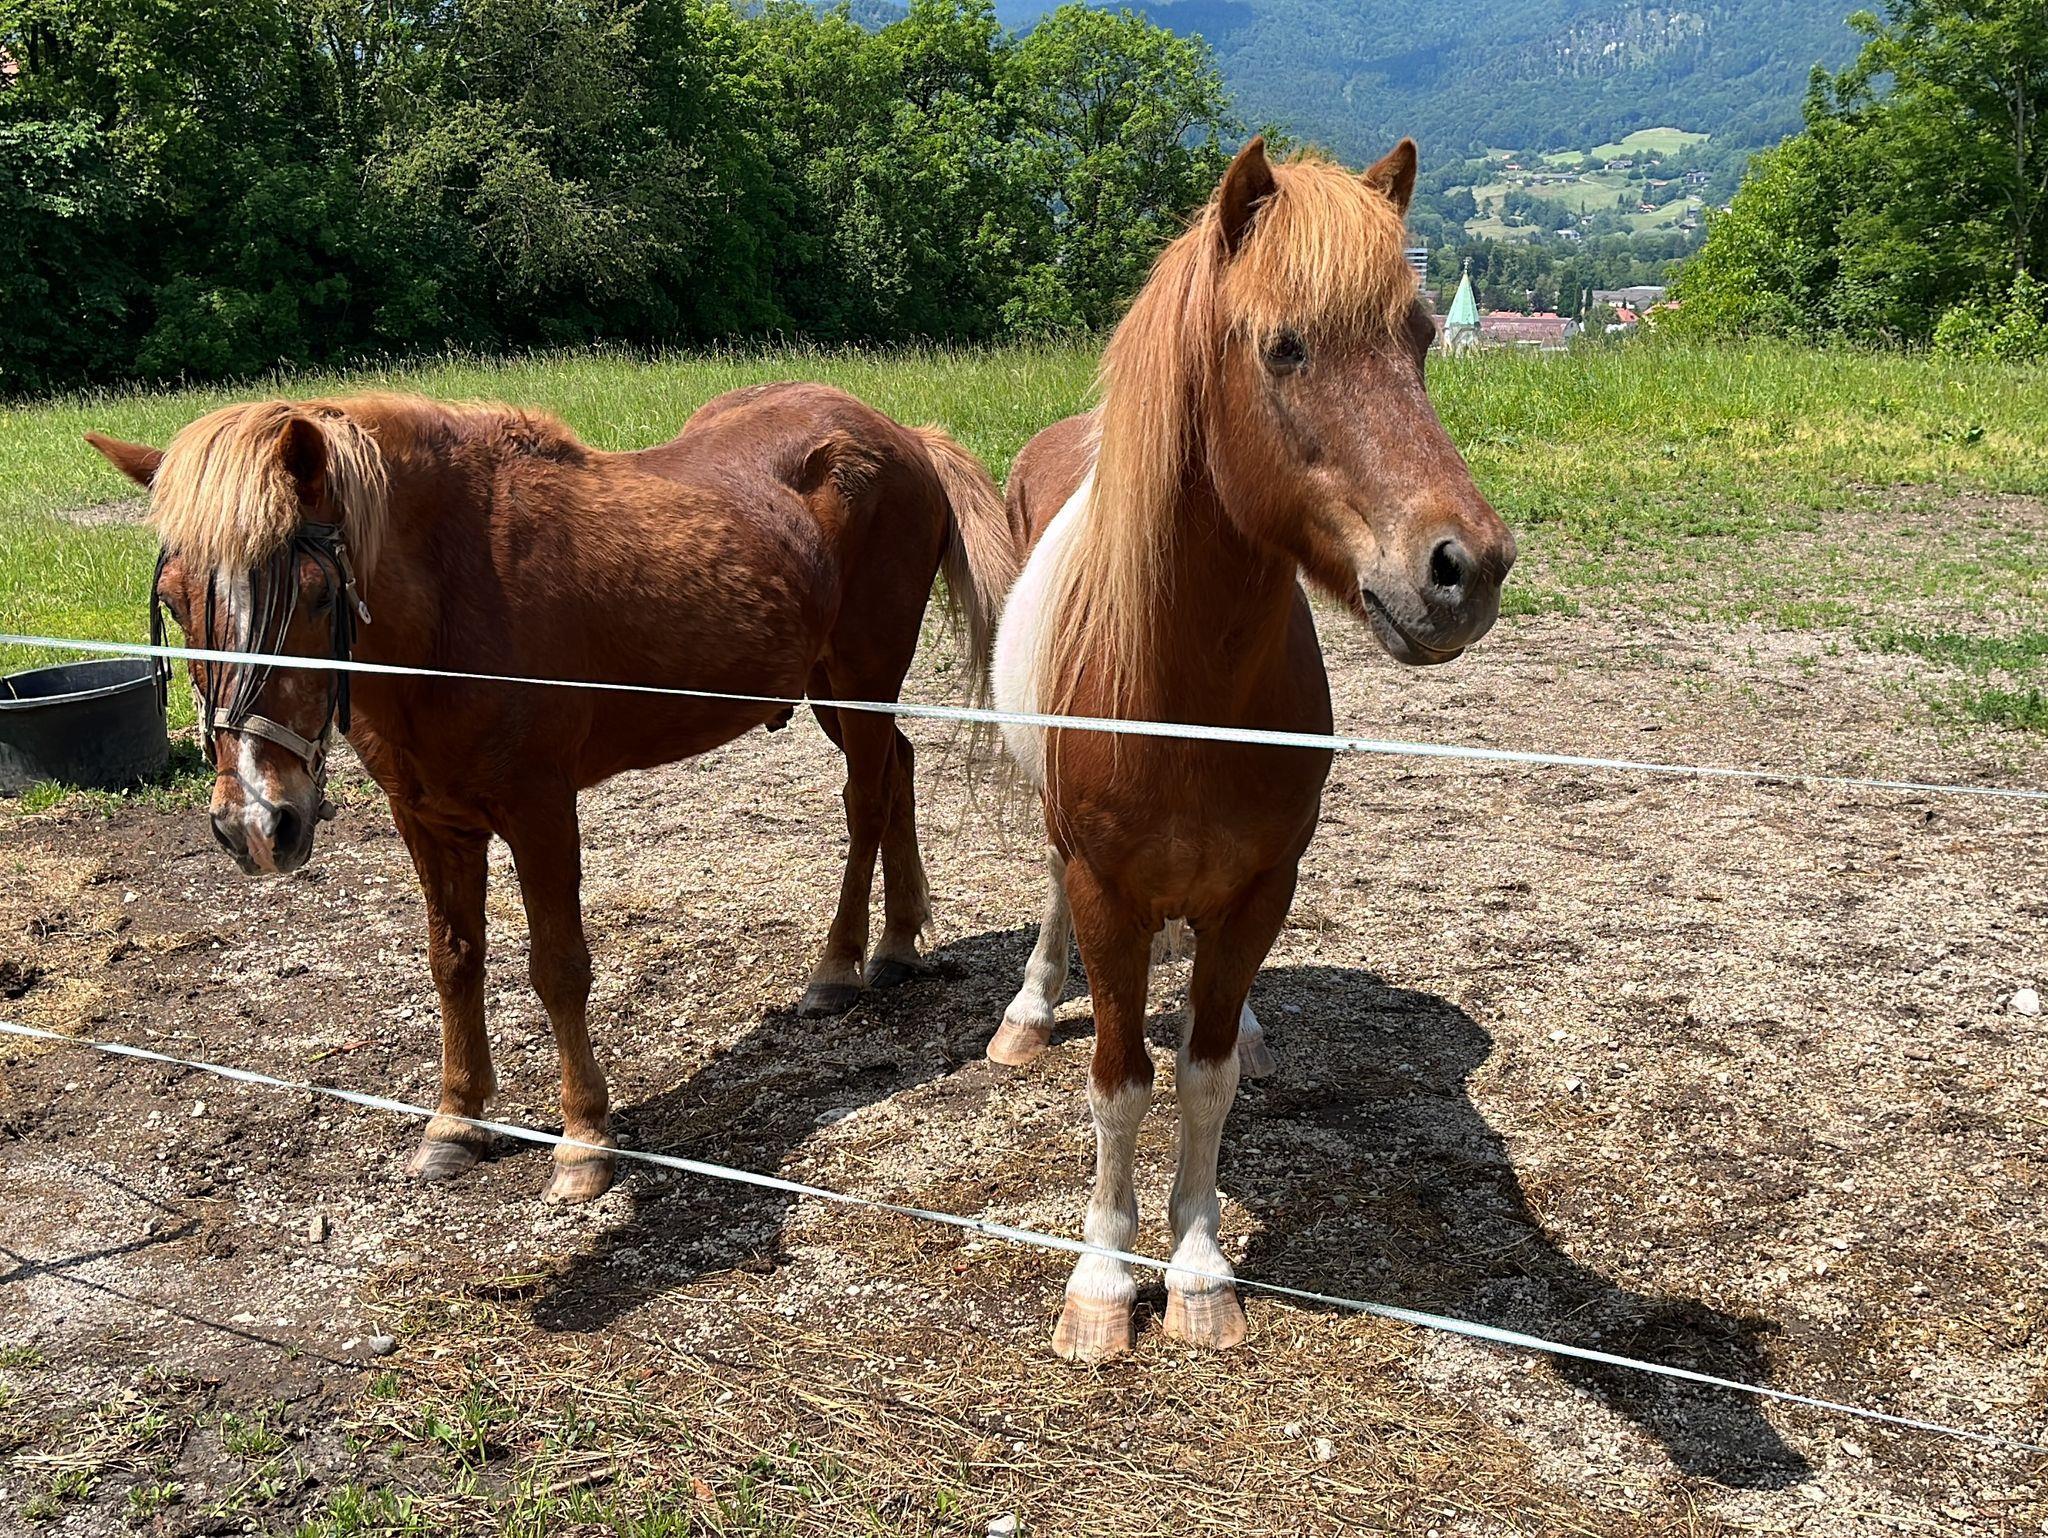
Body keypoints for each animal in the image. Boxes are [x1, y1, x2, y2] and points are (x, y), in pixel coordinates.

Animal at [86, 382, 1018, 1205]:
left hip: (861, 678)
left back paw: (841, 964)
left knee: (866, 802)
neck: (455, 598)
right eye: (173, 602)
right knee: (897, 772)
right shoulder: (427, 819)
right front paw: (456, 1121)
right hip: (827, 686)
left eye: (316, 596)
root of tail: (899, 435)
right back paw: (898, 943)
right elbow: (453, 960)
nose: (255, 822)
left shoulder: (540, 810)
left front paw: (583, 1140)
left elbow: (558, 968)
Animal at [987, 137, 1516, 1359]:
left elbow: (1206, 1075)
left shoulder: (1263, 884)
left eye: (1420, 338)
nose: (1464, 567)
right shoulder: (1107, 889)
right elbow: (1120, 1081)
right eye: (1284, 345)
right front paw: (1101, 1280)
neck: (1185, 696)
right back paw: (1028, 1011)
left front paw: (1195, 1266)